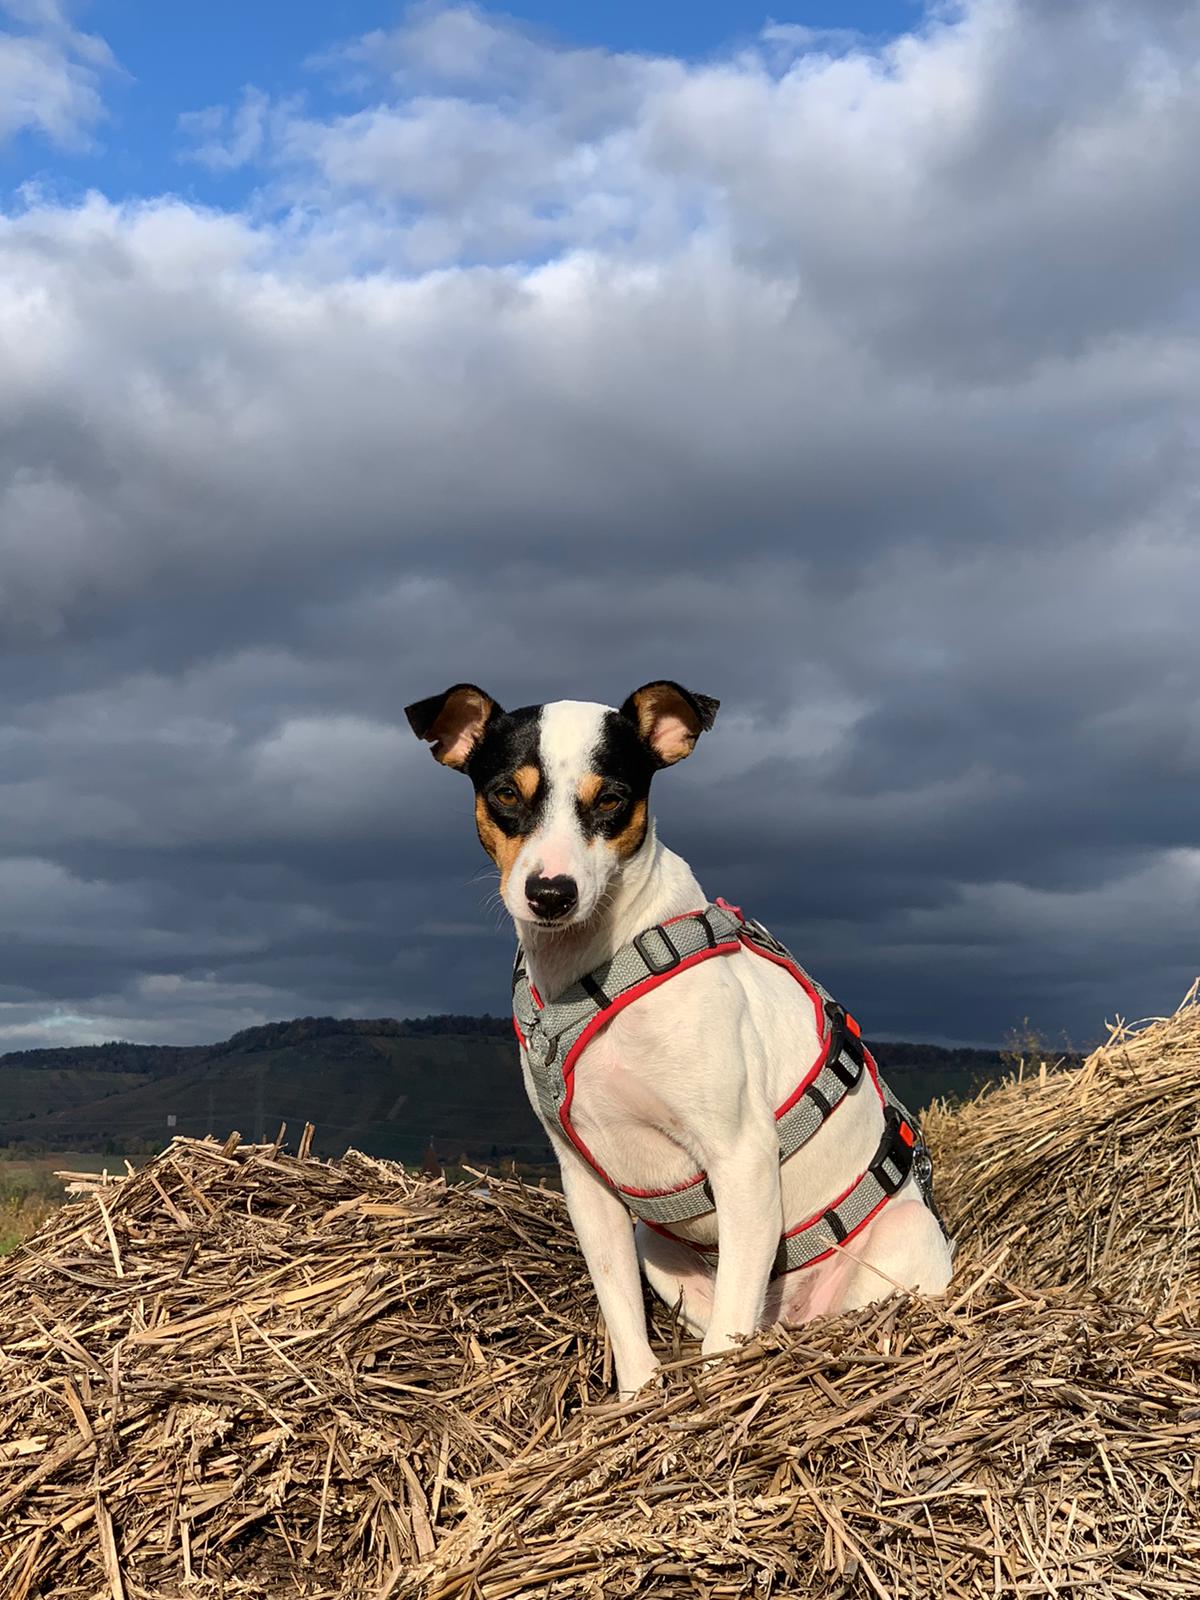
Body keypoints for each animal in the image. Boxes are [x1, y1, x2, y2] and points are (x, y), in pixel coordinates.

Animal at [406, 680, 953, 1396]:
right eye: (504, 794)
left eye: (611, 799)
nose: (550, 893)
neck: (592, 971)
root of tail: (796, 1315)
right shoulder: (585, 1182)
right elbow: (622, 1317)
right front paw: (639, 1401)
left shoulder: (742, 1157)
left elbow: (723, 1345)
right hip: (658, 1249)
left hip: (900, 1243)